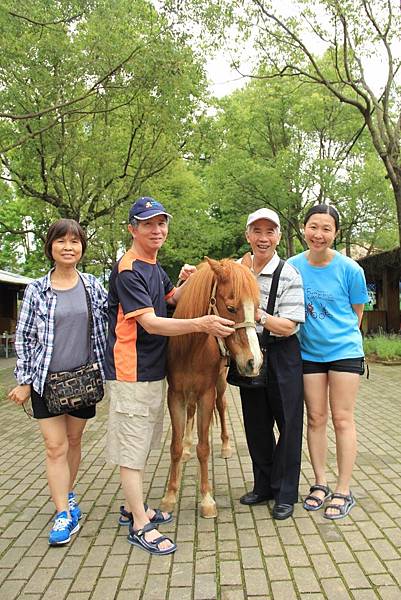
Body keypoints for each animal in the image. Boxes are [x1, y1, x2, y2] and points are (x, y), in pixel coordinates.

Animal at [161, 256, 260, 516]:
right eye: (232, 308)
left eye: (257, 308)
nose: (254, 362)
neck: (190, 346)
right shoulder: (175, 395)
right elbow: (175, 446)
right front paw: (170, 495)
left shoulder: (206, 393)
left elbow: (204, 448)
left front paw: (206, 498)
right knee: (190, 413)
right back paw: (188, 445)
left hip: (220, 385)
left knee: (222, 406)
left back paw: (225, 446)